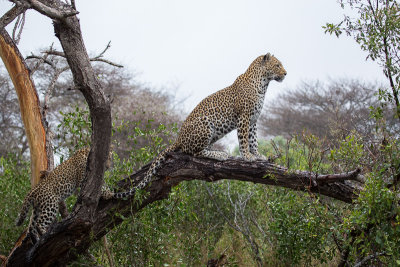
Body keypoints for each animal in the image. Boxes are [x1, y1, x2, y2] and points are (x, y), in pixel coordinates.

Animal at [111, 52, 288, 199]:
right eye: (277, 65)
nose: (286, 73)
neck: (263, 84)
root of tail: (178, 138)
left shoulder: (253, 121)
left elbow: (253, 140)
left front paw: (258, 155)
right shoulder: (244, 117)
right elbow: (244, 140)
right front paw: (247, 157)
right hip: (205, 124)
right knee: (194, 152)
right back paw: (220, 154)